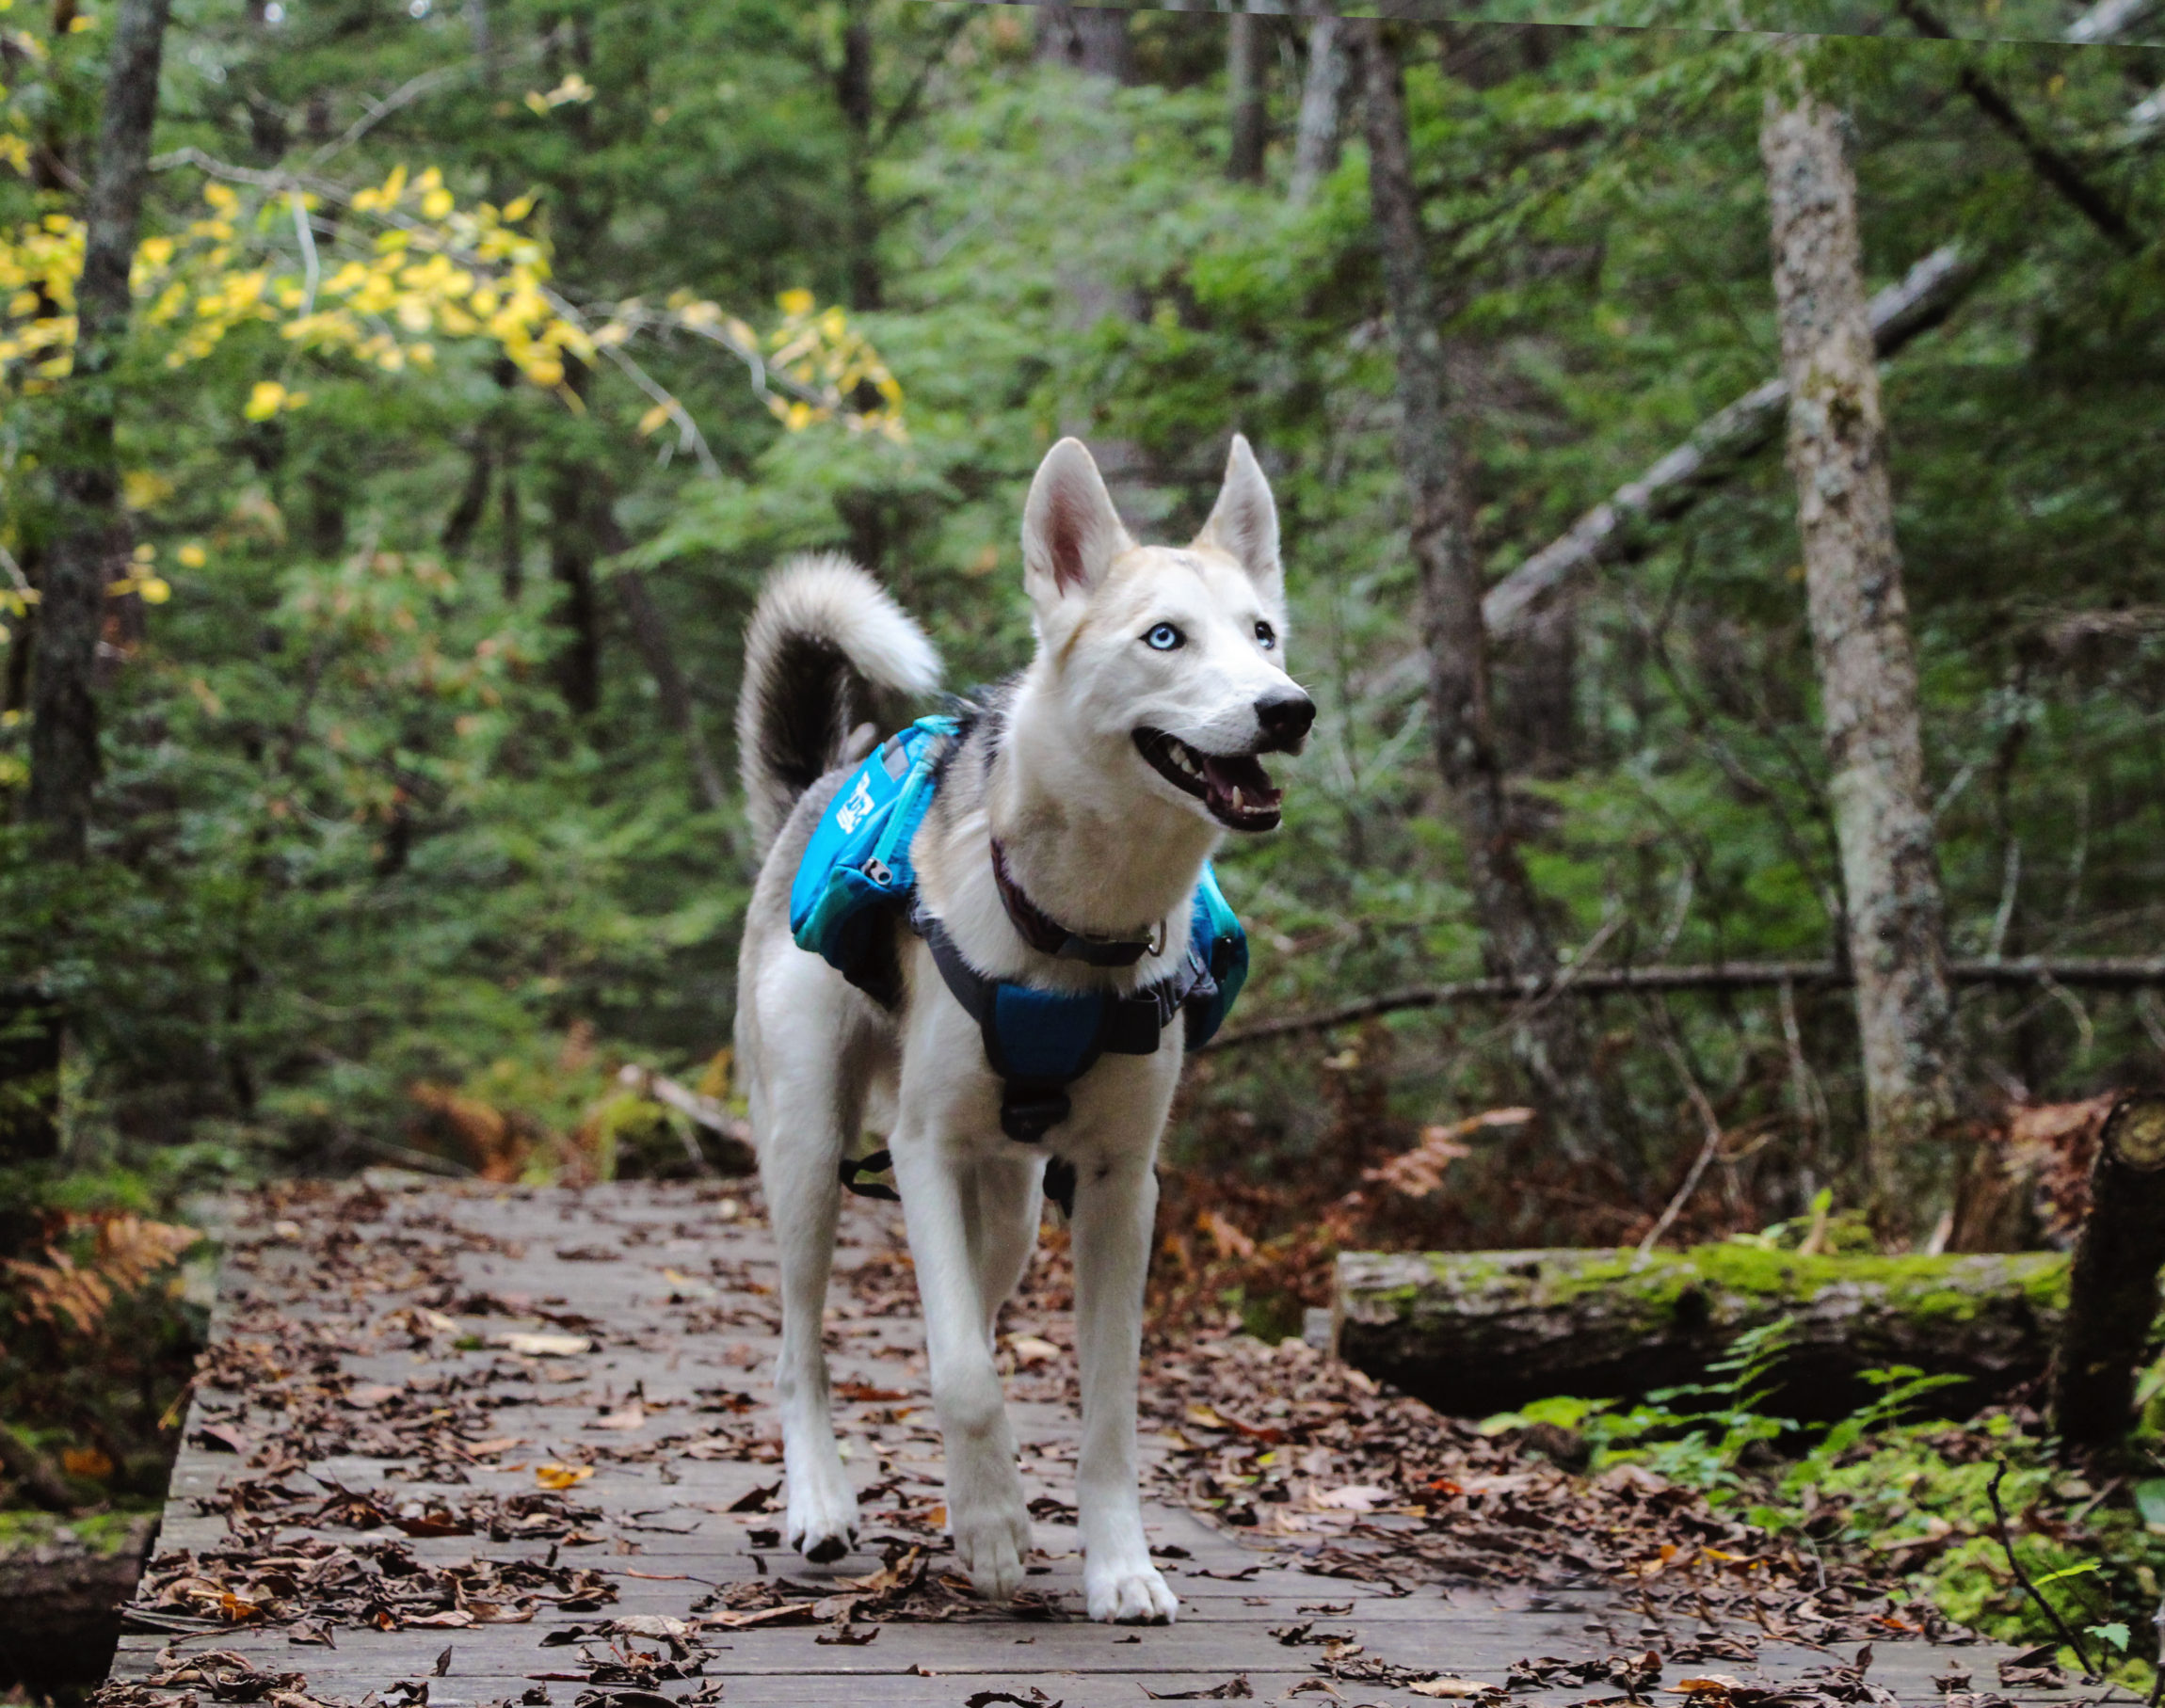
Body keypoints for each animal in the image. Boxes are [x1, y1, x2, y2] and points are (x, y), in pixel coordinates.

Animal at [736, 433, 1307, 1619]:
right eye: (1164, 637)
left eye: (1263, 635)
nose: (1290, 708)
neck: (1074, 930)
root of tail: (816, 791)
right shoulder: (919, 1151)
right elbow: (961, 1373)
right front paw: (996, 1533)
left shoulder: (1119, 1187)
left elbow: (1103, 1406)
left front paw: (1116, 1565)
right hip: (810, 1154)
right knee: (803, 1349)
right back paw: (821, 1502)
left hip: (1009, 1211)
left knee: (976, 1307)